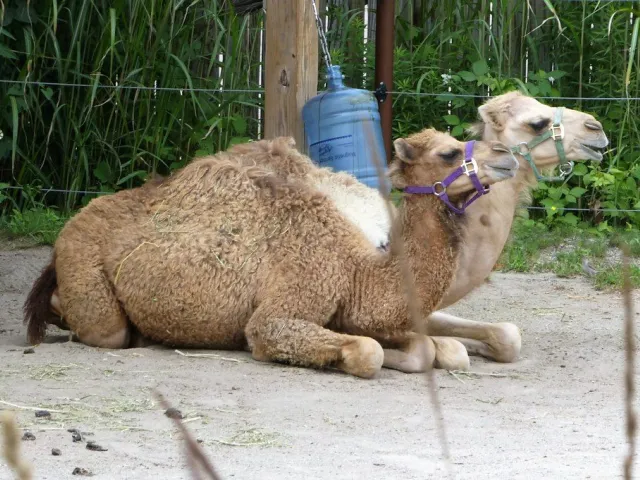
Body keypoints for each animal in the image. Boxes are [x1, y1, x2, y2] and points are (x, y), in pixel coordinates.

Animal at [23, 128, 519, 378]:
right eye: (449, 152)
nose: (507, 155)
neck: (355, 269)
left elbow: (429, 346)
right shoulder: (285, 306)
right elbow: (368, 352)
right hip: (86, 271)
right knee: (104, 330)